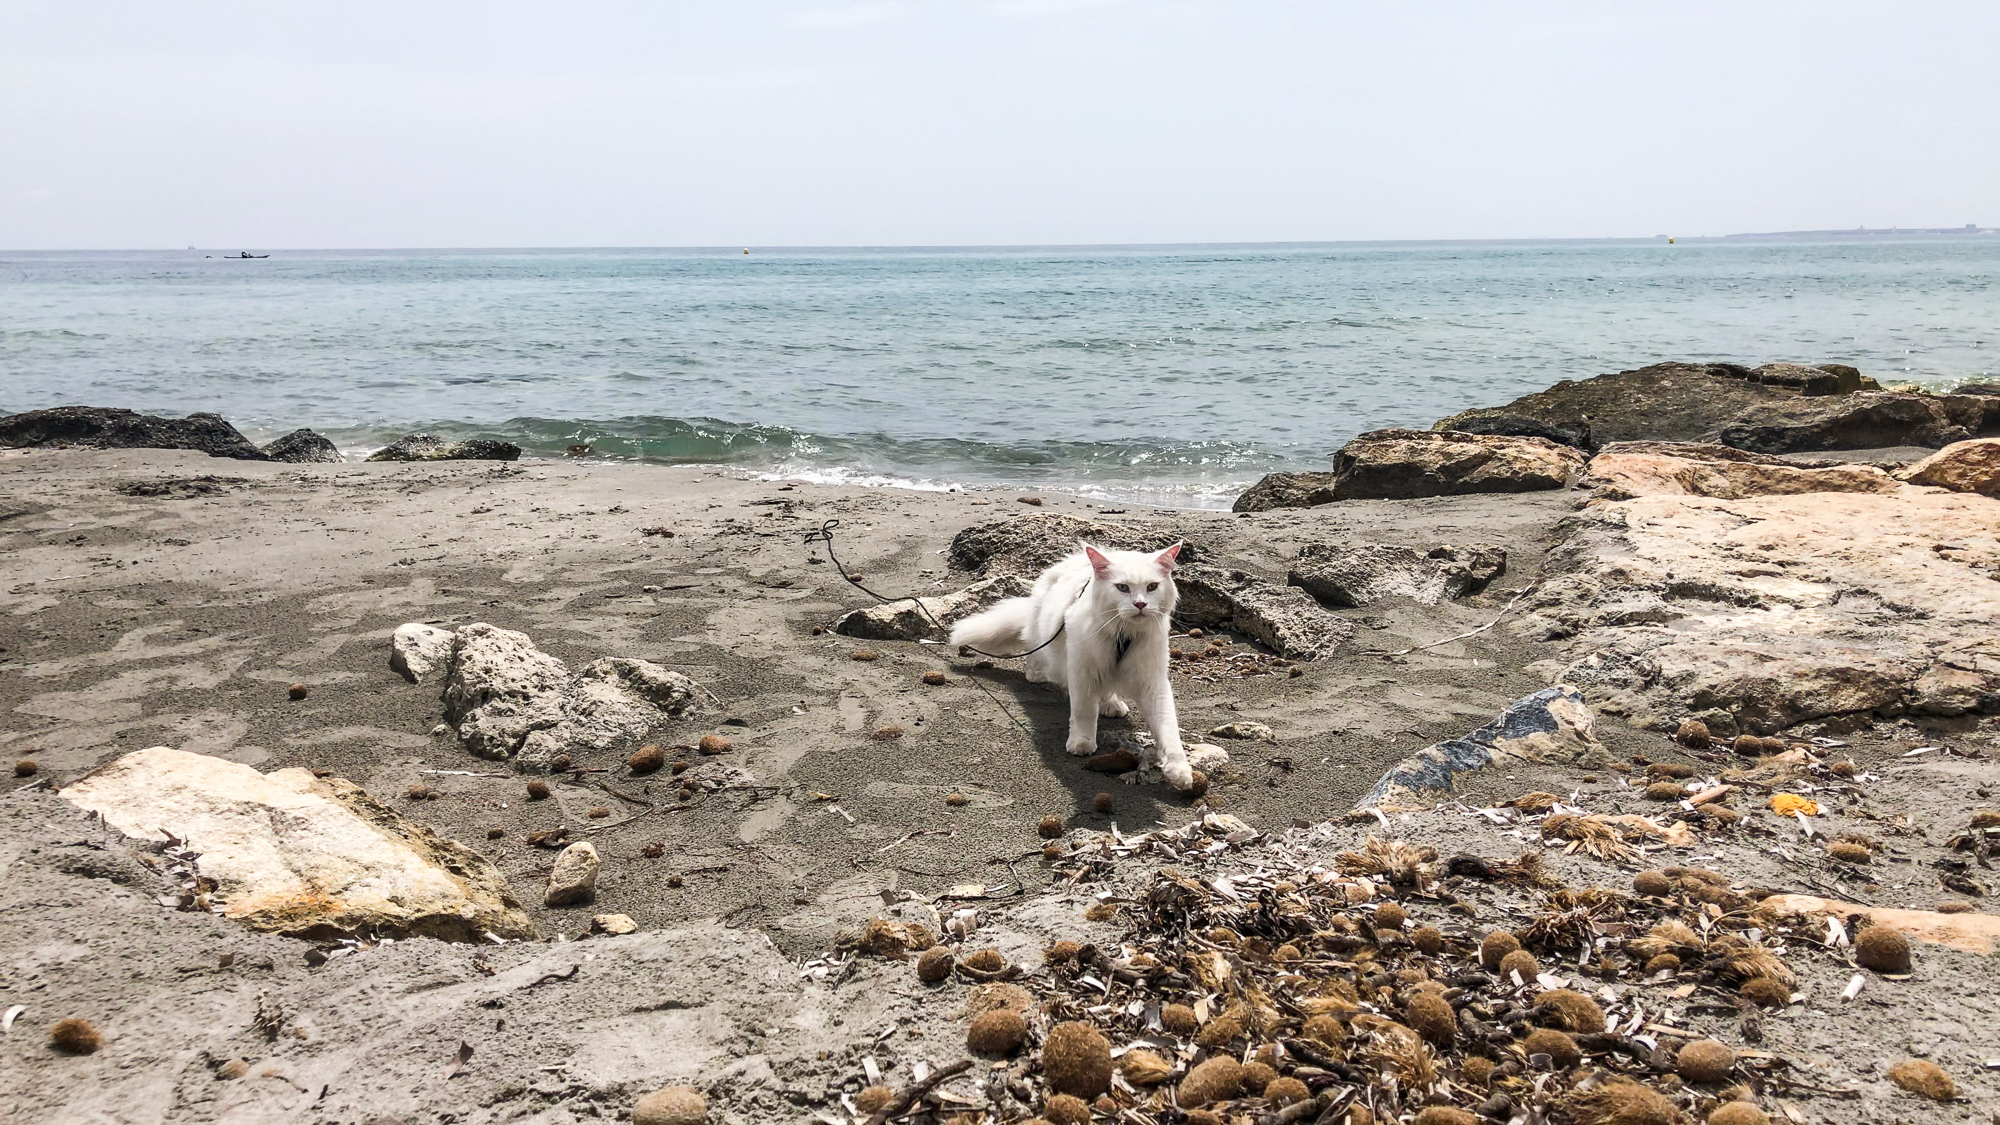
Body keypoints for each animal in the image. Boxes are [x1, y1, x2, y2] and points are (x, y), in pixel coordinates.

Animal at [948, 540, 1192, 788]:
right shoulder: (1082, 669)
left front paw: (1179, 771)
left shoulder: (1152, 681)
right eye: (1122, 587)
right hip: (1044, 636)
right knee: (1033, 648)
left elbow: (1168, 729)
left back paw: (1112, 705)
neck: (1123, 634)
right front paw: (1082, 742)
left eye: (1152, 587)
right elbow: (1084, 711)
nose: (1140, 604)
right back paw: (1037, 675)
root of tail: (1073, 560)